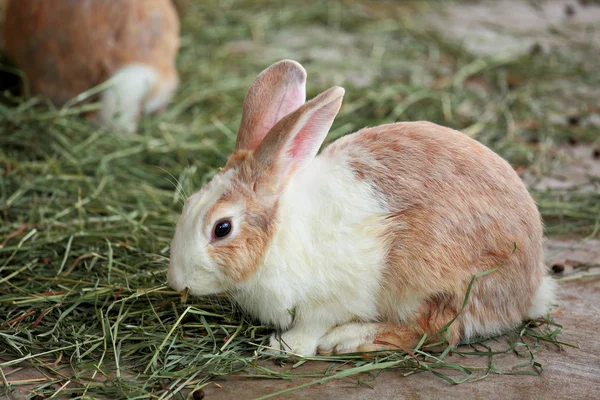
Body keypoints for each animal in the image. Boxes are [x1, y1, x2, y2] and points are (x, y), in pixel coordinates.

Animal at [166, 59, 556, 356]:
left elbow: (310, 327)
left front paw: (284, 347)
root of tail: (528, 288)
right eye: (188, 205)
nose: (176, 281)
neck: (278, 234)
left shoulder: (327, 301)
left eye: (222, 228)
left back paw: (348, 340)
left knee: (436, 332)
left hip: (432, 283)